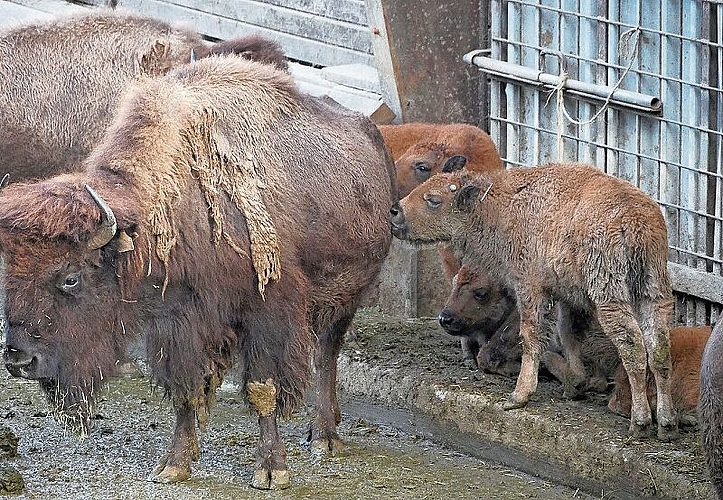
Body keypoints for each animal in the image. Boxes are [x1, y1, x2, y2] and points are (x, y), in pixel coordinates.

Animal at [0, 53, 396, 488]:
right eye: (8, 274)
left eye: (71, 278)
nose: (19, 359)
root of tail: (371, 133)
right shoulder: (180, 322)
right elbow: (185, 389)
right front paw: (174, 464)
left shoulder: (266, 313)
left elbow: (263, 388)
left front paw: (271, 469)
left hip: (348, 295)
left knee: (326, 356)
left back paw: (325, 436)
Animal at [390, 162, 680, 440]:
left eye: (434, 200)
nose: (395, 212)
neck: (497, 206)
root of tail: (638, 222)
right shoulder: (567, 296)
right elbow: (569, 334)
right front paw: (574, 385)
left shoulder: (530, 287)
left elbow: (531, 336)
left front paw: (518, 397)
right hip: (653, 292)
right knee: (659, 350)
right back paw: (667, 424)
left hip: (611, 296)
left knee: (633, 348)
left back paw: (640, 423)